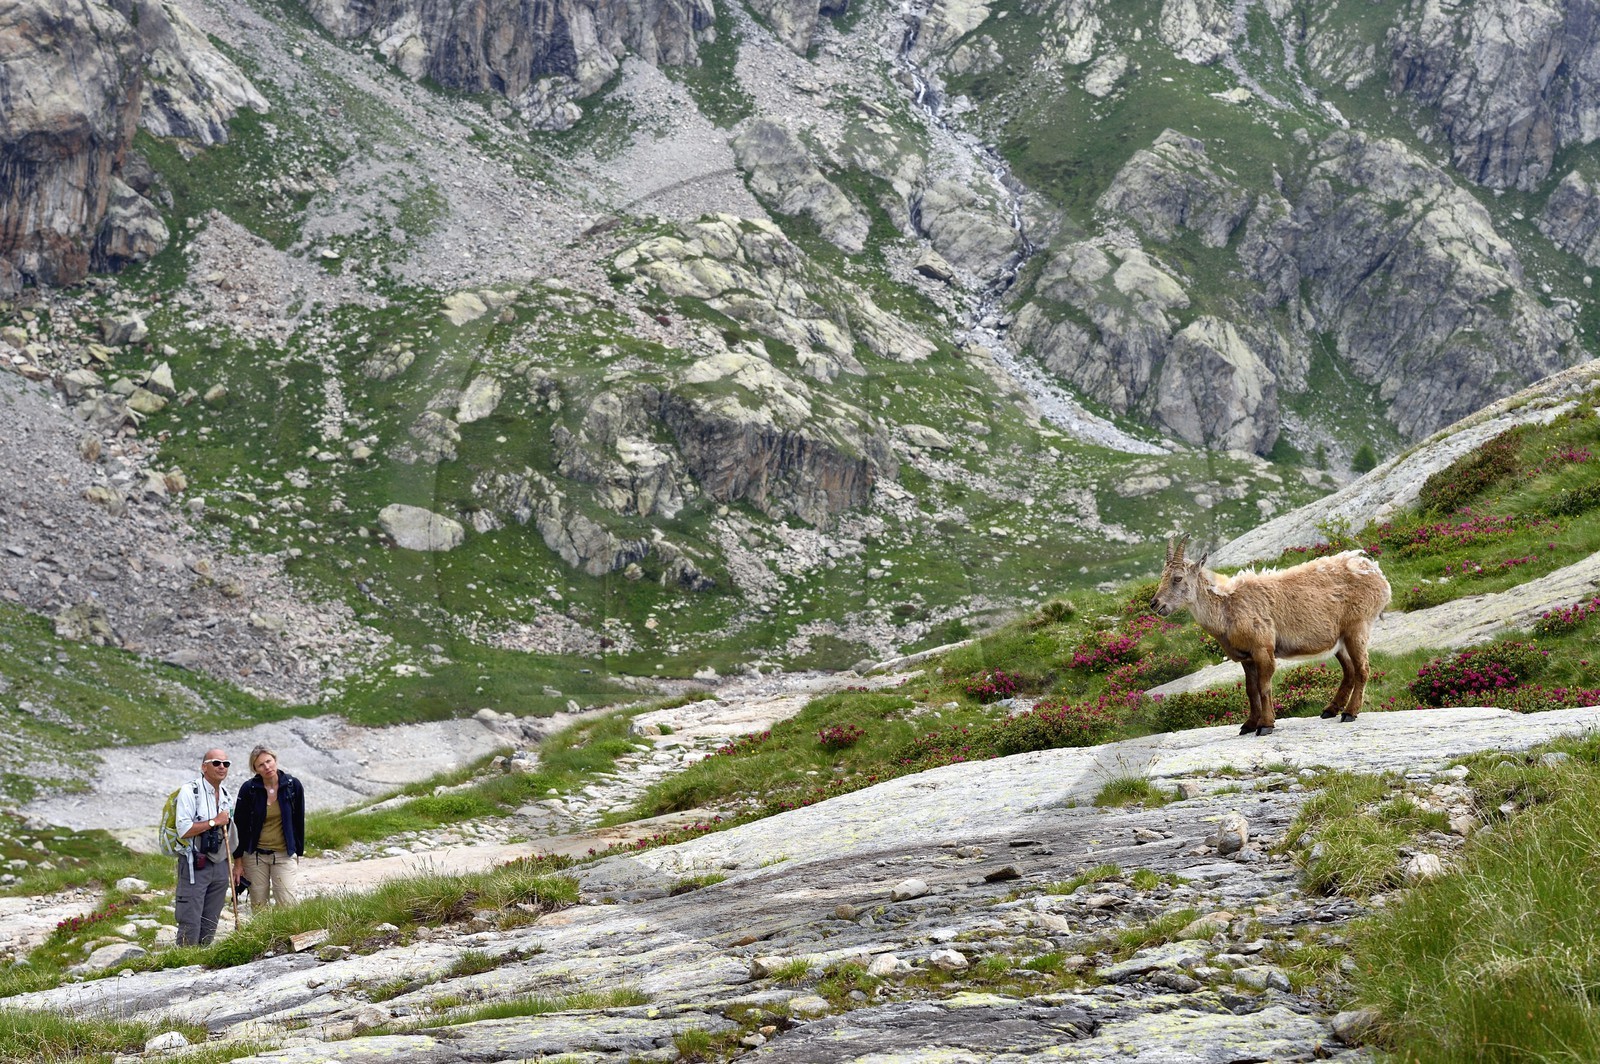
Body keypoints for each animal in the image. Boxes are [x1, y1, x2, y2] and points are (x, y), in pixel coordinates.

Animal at [1152, 536, 1391, 736]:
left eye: (1177, 578)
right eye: (1162, 577)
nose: (1155, 604)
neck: (1227, 607)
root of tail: (1376, 573)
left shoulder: (1263, 648)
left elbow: (1264, 687)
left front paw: (1265, 725)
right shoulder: (1246, 657)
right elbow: (1251, 690)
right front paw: (1249, 724)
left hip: (1357, 628)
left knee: (1362, 669)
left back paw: (1350, 712)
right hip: (1340, 640)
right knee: (1349, 670)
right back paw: (1330, 709)